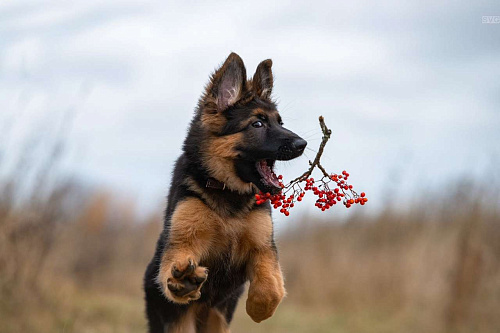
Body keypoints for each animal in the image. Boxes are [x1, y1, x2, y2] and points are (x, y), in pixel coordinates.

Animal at [145, 52, 306, 332]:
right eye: (257, 123)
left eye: (280, 122)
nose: (303, 144)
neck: (227, 191)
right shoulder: (183, 242)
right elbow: (174, 265)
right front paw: (184, 281)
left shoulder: (263, 247)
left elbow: (272, 287)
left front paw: (259, 309)